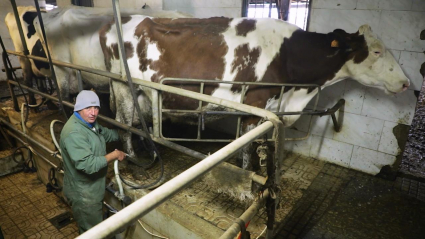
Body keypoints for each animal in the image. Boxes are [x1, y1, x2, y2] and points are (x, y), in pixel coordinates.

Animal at [97, 16, 410, 170]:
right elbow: (248, 144)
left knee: (134, 122)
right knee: (122, 122)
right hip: (123, 86)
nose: (407, 82)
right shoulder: (256, 103)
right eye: (377, 51)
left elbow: (249, 142)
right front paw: (249, 172)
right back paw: (133, 159)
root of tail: (114, 22)